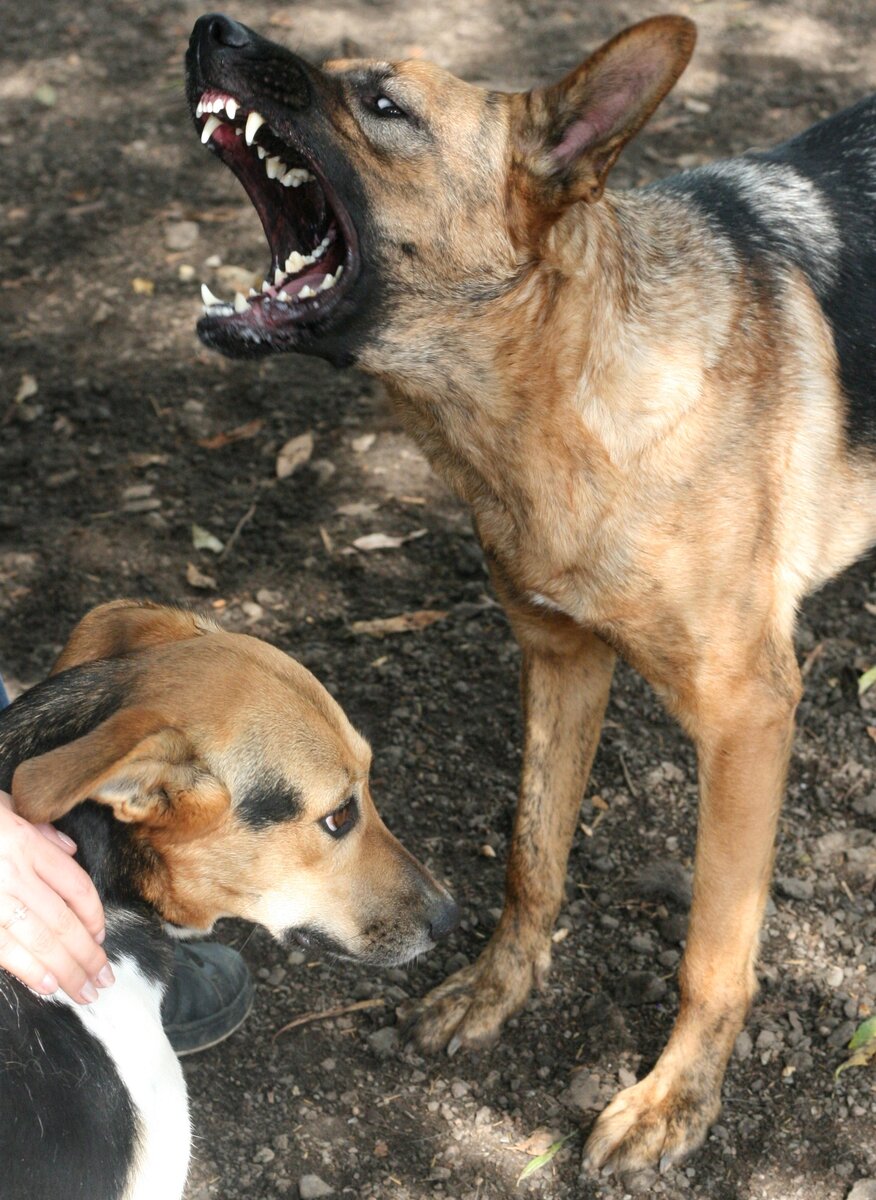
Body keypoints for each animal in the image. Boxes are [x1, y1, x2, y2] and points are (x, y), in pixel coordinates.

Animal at [184, 9, 873, 1171]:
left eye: (384, 104)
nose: (211, 26)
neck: (561, 384)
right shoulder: (560, 659)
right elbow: (532, 858)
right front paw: (497, 992)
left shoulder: (747, 719)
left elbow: (713, 945)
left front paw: (677, 1100)